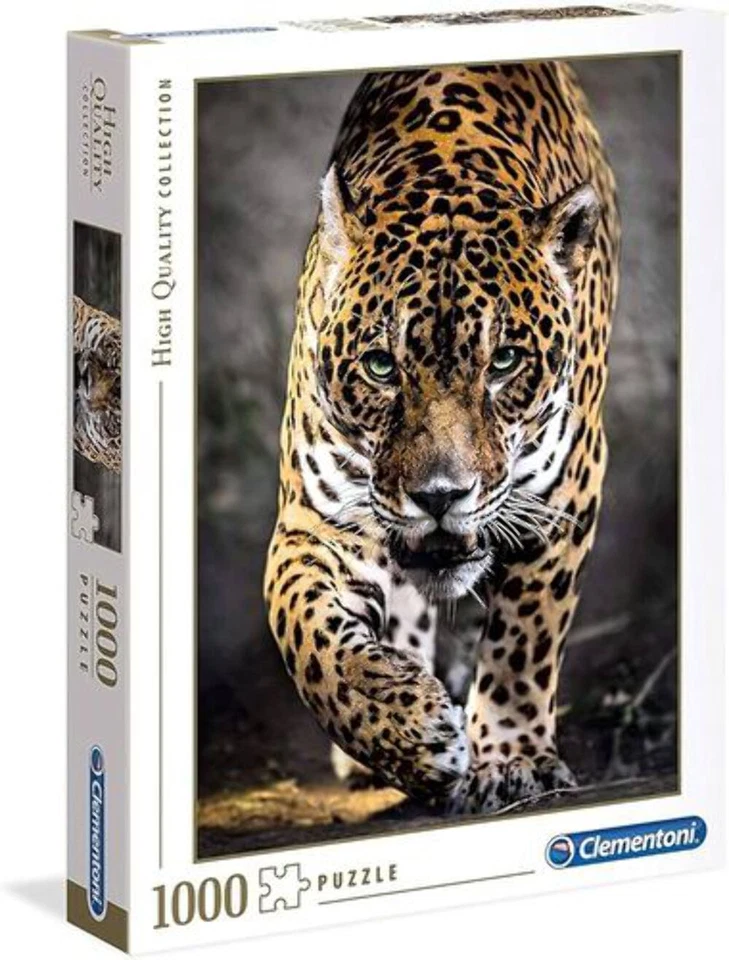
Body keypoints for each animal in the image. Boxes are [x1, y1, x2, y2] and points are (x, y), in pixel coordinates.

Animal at [264, 61, 619, 813]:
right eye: (380, 366)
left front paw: (510, 759)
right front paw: (406, 730)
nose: (438, 497)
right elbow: (303, 630)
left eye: (505, 362)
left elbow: (524, 639)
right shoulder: (317, 519)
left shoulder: (564, 497)